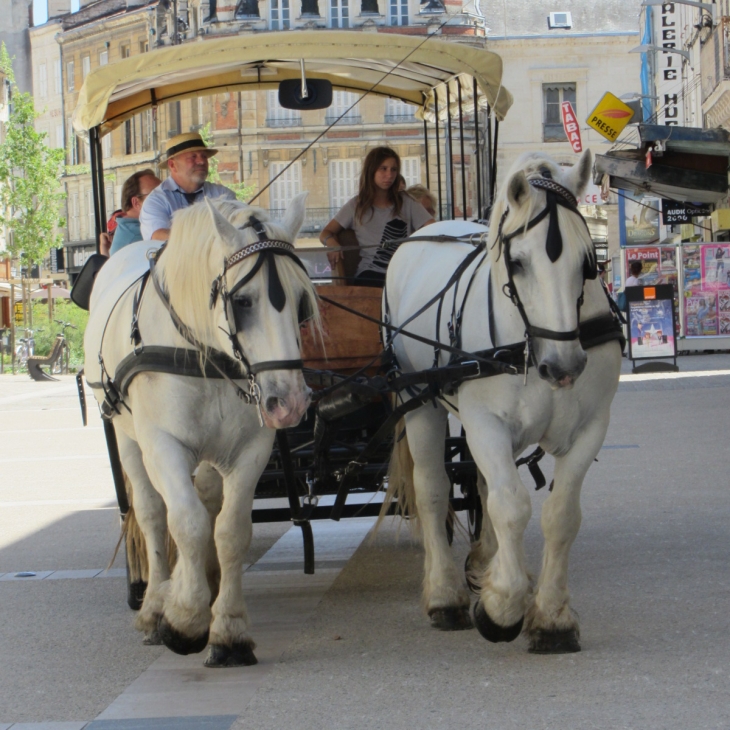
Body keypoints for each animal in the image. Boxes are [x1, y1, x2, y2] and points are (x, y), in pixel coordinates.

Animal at [84, 193, 318, 664]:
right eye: (242, 301)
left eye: (301, 301)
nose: (290, 403)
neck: (203, 350)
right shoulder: (162, 445)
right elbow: (186, 522)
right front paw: (185, 620)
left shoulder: (253, 447)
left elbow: (230, 530)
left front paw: (228, 629)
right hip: (126, 436)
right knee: (153, 513)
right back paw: (156, 604)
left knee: (207, 500)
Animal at [386, 151, 620, 652]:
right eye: (518, 261)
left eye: (588, 263)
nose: (564, 366)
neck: (529, 342)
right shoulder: (484, 421)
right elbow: (511, 506)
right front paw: (502, 608)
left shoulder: (592, 426)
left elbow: (559, 515)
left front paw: (550, 617)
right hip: (419, 401)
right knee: (434, 490)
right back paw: (446, 595)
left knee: (485, 486)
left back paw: (487, 563)